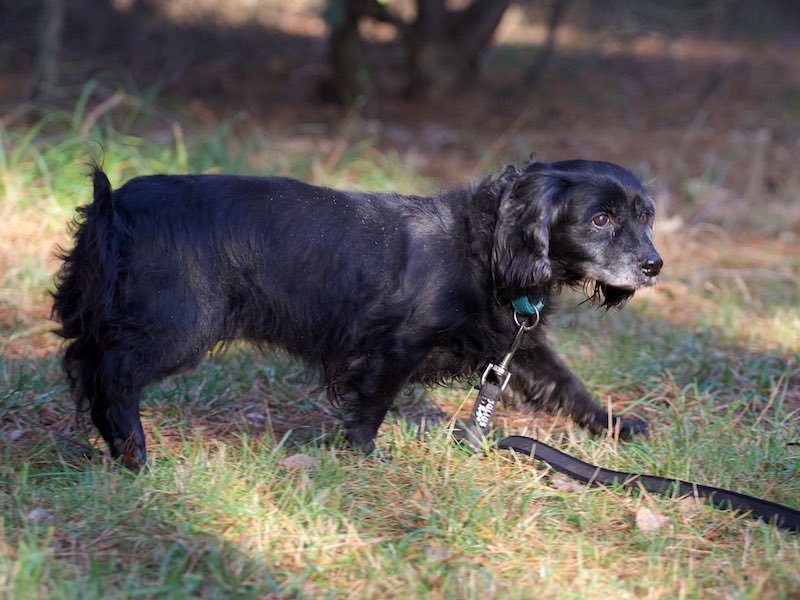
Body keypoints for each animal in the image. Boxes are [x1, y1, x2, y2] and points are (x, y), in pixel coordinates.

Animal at [52, 159, 662, 469]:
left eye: (645, 215)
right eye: (601, 218)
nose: (654, 265)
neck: (485, 243)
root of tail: (114, 204)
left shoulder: (513, 346)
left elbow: (567, 385)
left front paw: (618, 425)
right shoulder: (394, 346)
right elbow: (372, 406)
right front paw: (367, 455)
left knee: (87, 364)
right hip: (180, 324)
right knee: (113, 374)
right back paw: (133, 451)